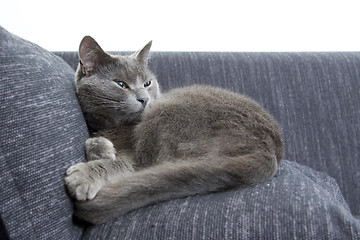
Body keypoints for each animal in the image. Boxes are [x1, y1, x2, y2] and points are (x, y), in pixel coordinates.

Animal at [64, 36, 284, 225]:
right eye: (121, 84)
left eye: (147, 83)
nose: (144, 99)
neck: (112, 126)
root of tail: (269, 150)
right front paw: (101, 148)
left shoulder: (133, 156)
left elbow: (117, 163)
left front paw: (84, 176)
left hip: (166, 113)